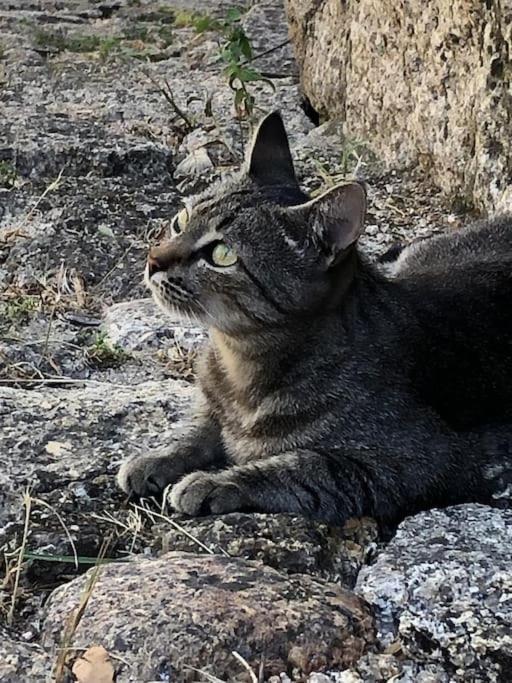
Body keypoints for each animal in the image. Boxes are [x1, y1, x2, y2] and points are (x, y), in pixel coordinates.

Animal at [117, 111, 512, 524]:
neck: (240, 361)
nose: (153, 260)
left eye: (222, 254)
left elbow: (303, 465)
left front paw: (213, 482)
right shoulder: (215, 405)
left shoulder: (419, 462)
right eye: (181, 220)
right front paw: (157, 458)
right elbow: (200, 428)